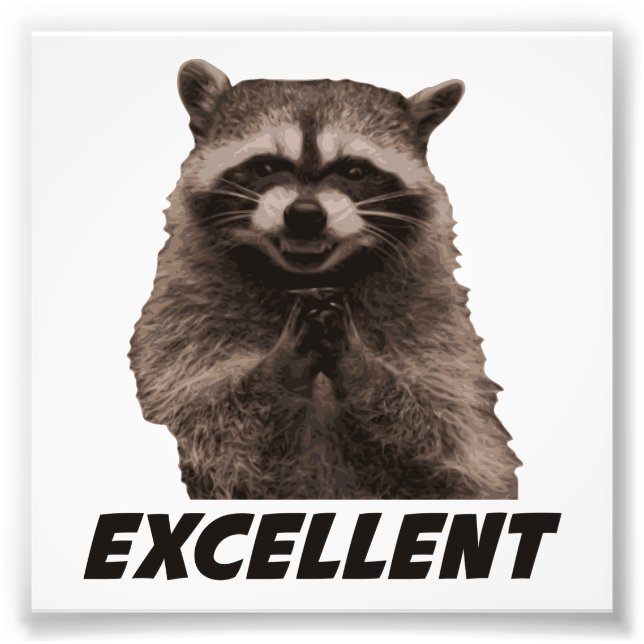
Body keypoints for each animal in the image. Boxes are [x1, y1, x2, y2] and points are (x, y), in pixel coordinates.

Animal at [129, 59, 521, 499]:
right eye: (265, 166)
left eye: (355, 170)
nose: (305, 215)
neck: (300, 279)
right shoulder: (182, 317)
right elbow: (206, 427)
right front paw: (280, 369)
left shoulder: (435, 323)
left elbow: (457, 449)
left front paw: (361, 366)